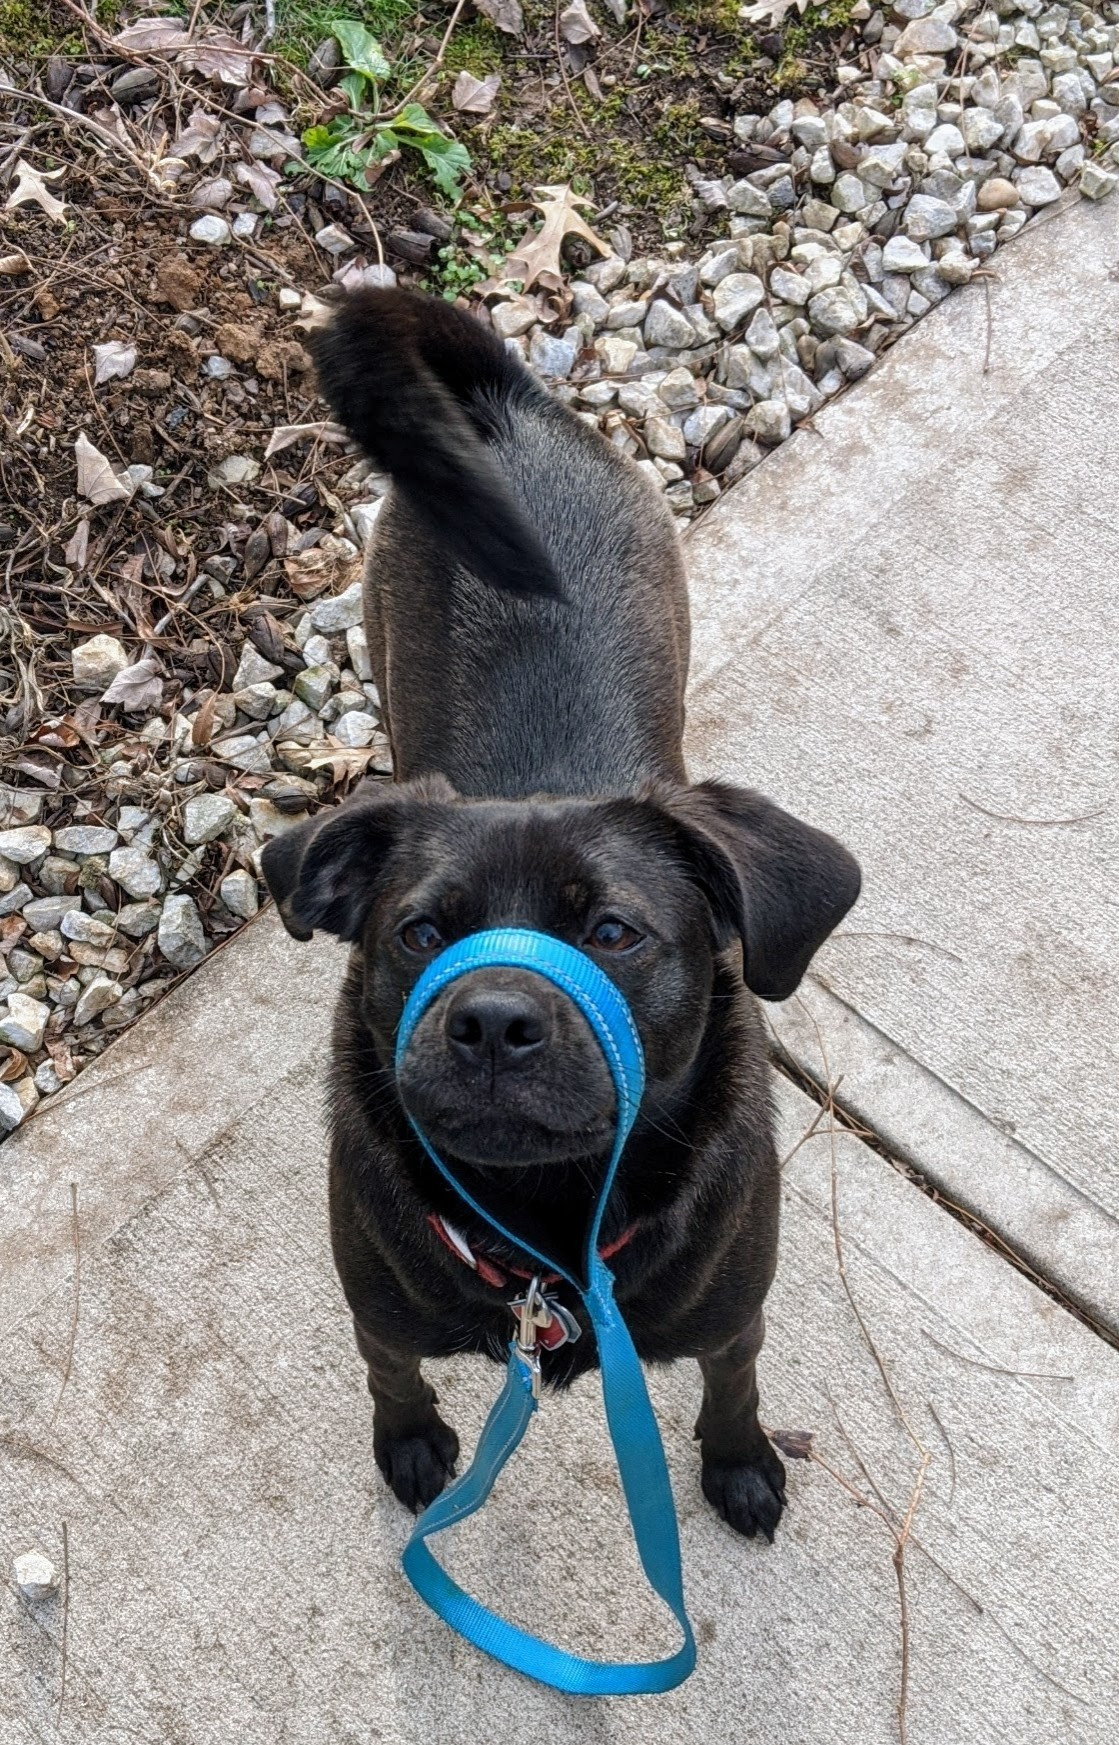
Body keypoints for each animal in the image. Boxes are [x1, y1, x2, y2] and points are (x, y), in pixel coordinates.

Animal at [261, 289, 855, 1542]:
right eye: (419, 931)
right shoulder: (380, 1312)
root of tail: (504, 404)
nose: (491, 1022)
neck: (546, 1224)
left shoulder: (732, 1317)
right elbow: (393, 1376)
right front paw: (412, 1441)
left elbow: (736, 1386)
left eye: (615, 930)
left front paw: (739, 1461)